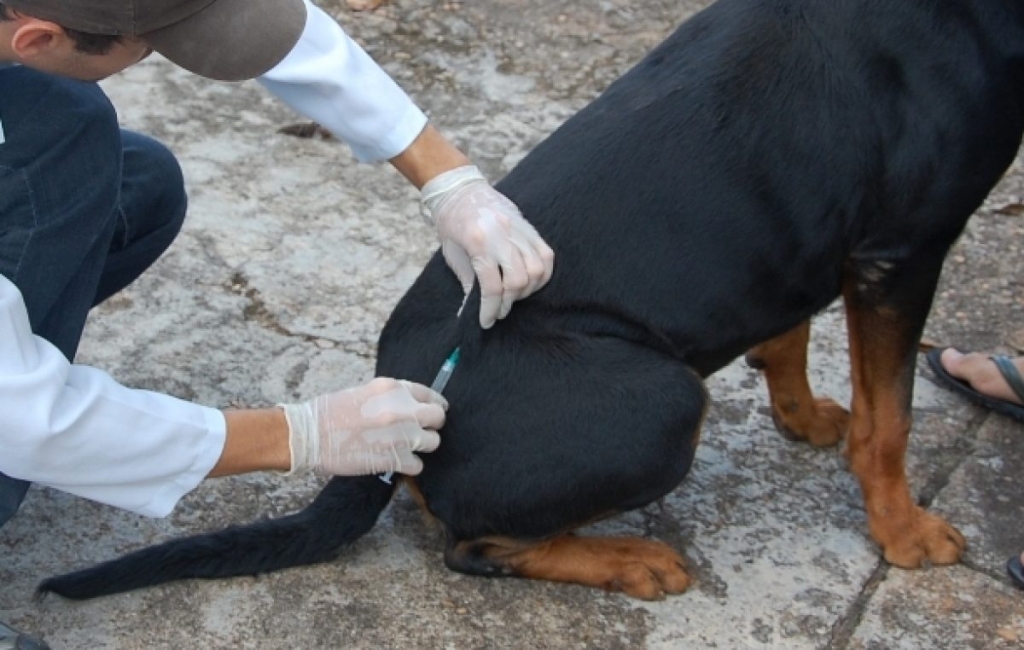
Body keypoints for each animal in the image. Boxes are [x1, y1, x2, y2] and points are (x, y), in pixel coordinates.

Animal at [37, 0, 1024, 601]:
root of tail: (412, 394)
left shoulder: (830, 243)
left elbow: (789, 333)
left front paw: (805, 414)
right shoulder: (904, 250)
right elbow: (890, 420)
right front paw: (903, 533)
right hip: (665, 399)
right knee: (473, 547)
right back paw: (632, 559)